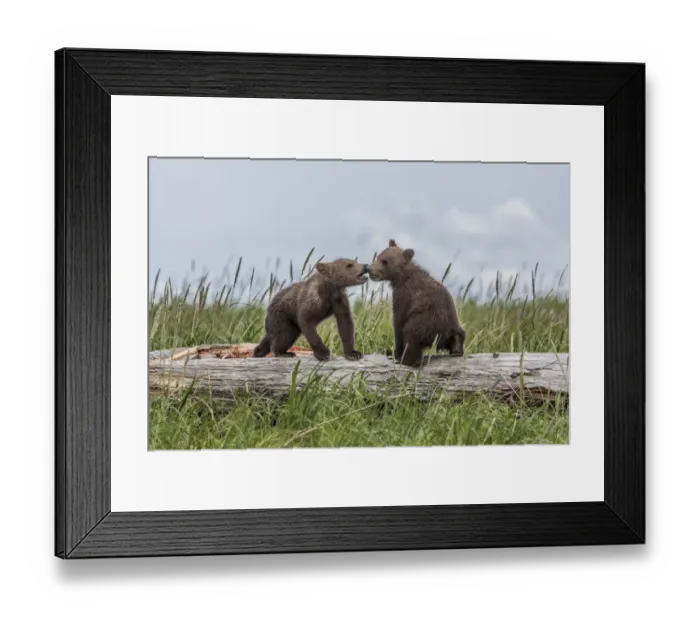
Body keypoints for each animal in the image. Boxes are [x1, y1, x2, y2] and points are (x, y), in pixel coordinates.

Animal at [367, 239, 465, 367]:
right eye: (378, 256)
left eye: (385, 261)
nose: (369, 269)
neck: (401, 277)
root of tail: (442, 333)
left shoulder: (404, 295)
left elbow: (398, 322)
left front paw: (394, 352)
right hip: (452, 321)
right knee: (459, 334)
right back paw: (457, 349)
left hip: (426, 320)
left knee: (411, 335)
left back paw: (405, 360)